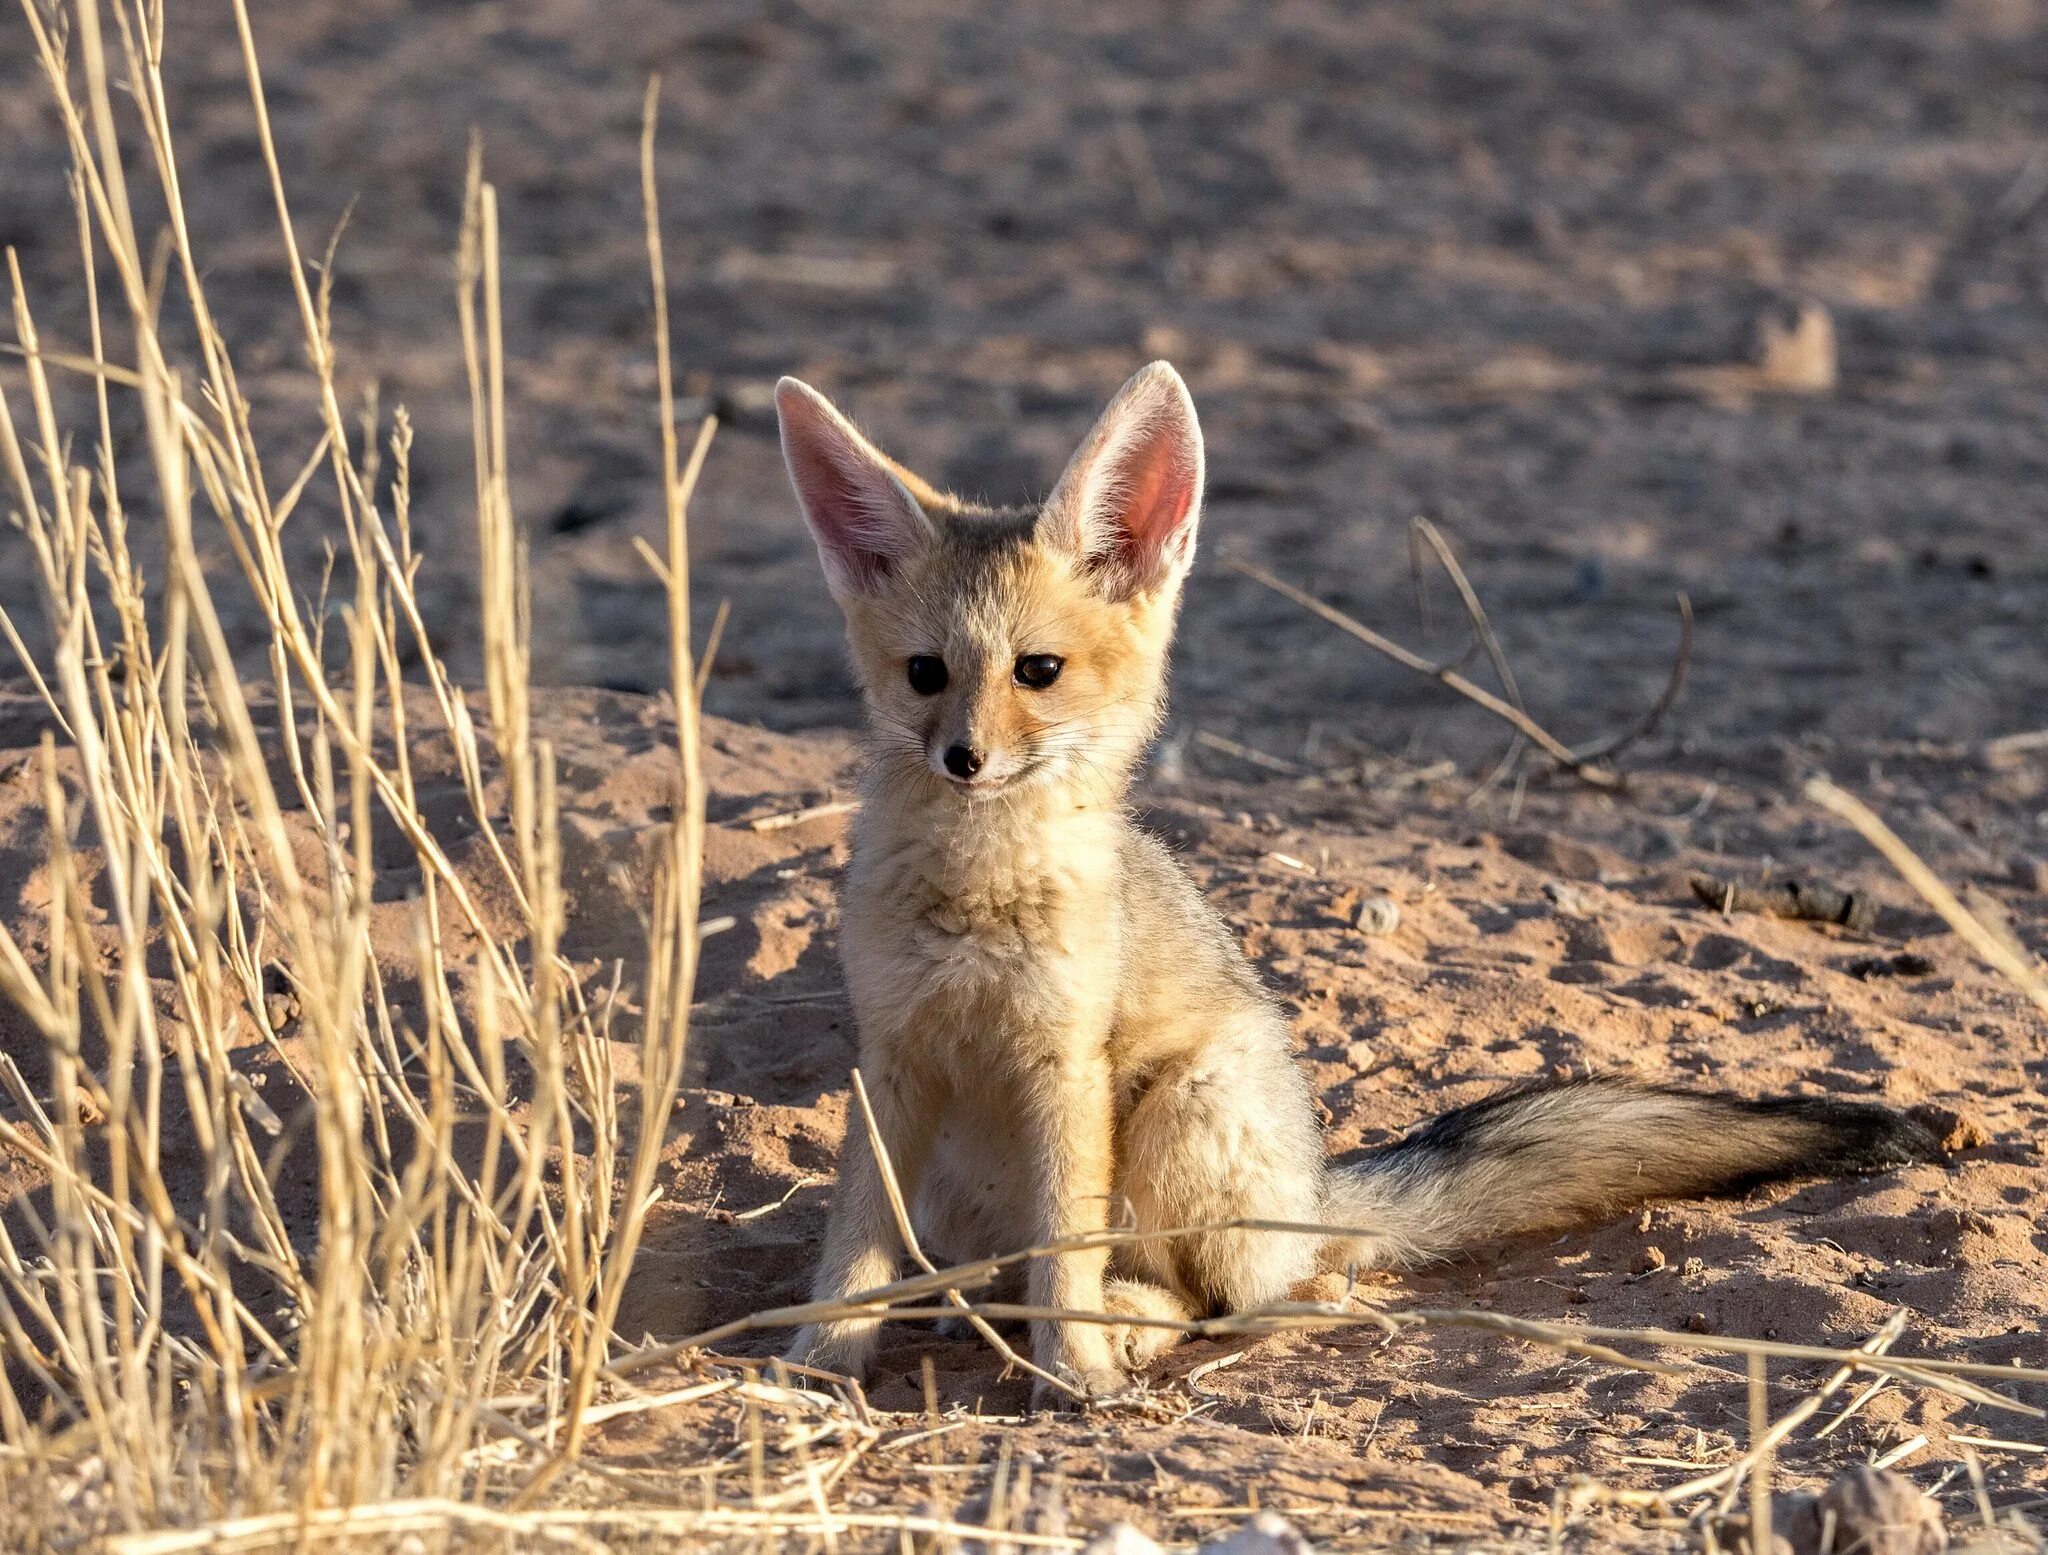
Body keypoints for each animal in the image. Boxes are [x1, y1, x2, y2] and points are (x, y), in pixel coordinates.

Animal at [770, 358, 1949, 1401]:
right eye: (925, 674)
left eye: (1037, 672)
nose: (963, 758)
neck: (975, 902)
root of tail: (1317, 1183)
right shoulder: (891, 1059)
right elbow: (855, 1242)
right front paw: (820, 1360)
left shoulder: (1064, 1066)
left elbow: (1065, 1253)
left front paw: (1075, 1374)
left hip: (1180, 1109)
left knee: (1236, 1296)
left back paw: (1141, 1320)